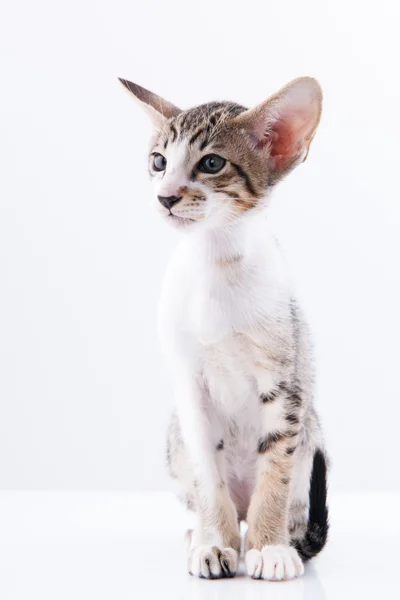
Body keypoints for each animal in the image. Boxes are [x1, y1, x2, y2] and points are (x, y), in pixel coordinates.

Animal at [119, 76, 328, 580]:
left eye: (212, 163)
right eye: (158, 161)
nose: (165, 196)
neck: (216, 264)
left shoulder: (286, 381)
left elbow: (275, 470)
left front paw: (270, 548)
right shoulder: (190, 388)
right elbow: (206, 478)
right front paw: (215, 543)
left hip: (312, 430)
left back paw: (273, 537)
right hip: (174, 437)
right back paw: (205, 535)